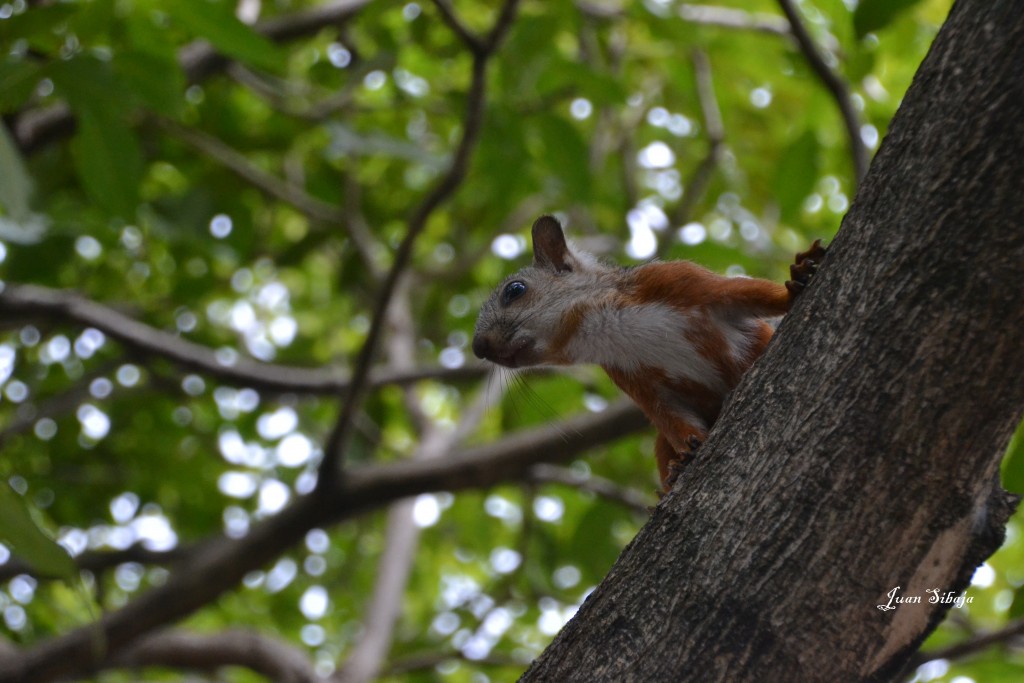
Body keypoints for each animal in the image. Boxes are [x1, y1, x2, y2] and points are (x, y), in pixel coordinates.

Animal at [472, 215, 825, 493]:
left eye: (515, 290)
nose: (478, 348)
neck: (605, 328)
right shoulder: (635, 378)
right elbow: (669, 417)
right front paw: (687, 454)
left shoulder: (679, 280)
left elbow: (745, 293)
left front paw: (793, 283)